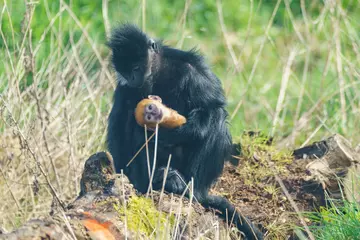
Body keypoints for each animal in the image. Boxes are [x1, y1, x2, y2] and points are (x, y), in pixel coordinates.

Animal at [105, 23, 262, 240]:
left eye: (136, 68)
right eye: (127, 72)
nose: (134, 78)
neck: (158, 74)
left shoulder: (193, 71)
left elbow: (209, 108)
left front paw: (166, 135)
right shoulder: (125, 87)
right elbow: (119, 127)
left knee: (216, 117)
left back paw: (189, 189)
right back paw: (156, 179)